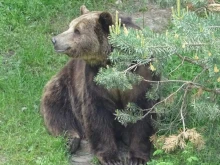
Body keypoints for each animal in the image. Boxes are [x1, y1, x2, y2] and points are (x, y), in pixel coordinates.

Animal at [40, 5, 159, 165]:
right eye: (70, 26)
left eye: (77, 30)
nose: (55, 40)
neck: (112, 62)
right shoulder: (95, 78)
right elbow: (97, 113)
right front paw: (110, 157)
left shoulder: (140, 74)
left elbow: (142, 111)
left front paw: (137, 157)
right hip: (65, 86)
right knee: (57, 110)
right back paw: (71, 140)